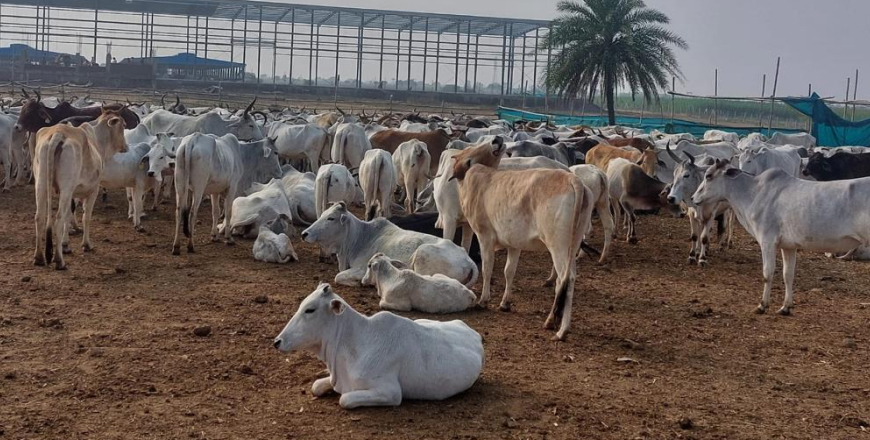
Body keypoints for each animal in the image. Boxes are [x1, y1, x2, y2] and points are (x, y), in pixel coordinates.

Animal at [33, 108, 129, 270]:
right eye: (123, 125)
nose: (126, 146)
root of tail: (58, 133)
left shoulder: (72, 192)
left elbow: (70, 214)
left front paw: (65, 244)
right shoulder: (93, 190)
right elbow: (86, 217)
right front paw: (86, 244)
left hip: (41, 184)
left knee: (40, 216)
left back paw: (39, 258)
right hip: (65, 187)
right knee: (59, 218)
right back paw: (59, 261)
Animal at [274, 284, 484, 410]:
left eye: (310, 310)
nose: (277, 341)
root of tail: (471, 332)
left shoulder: (390, 392)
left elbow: (344, 399)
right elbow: (316, 386)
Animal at [454, 137, 596, 340]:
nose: (497, 140)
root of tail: (573, 180)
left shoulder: (484, 236)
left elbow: (487, 269)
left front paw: (483, 300)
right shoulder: (514, 244)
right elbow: (509, 271)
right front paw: (505, 303)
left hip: (558, 246)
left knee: (565, 279)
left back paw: (560, 328)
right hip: (573, 244)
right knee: (570, 279)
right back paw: (556, 323)